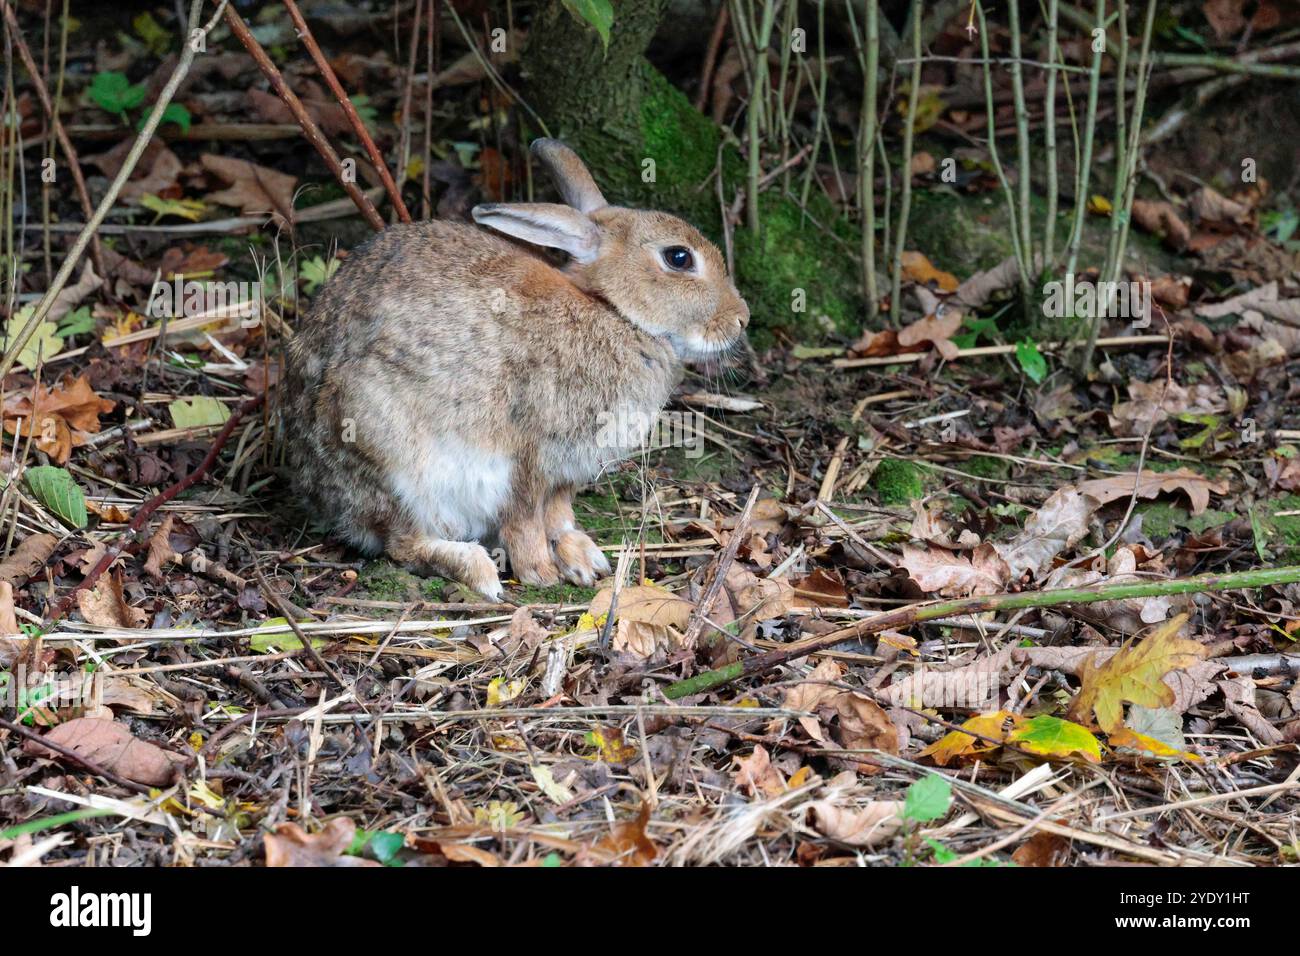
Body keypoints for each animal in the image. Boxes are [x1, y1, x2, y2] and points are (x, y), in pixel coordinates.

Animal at [284, 138, 754, 600]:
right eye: (679, 258)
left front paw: (584, 559)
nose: (742, 319)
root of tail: (316, 488)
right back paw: (479, 572)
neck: (614, 311)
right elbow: (525, 516)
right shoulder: (528, 455)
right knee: (403, 542)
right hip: (393, 455)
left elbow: (559, 514)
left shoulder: (567, 471)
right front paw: (540, 573)